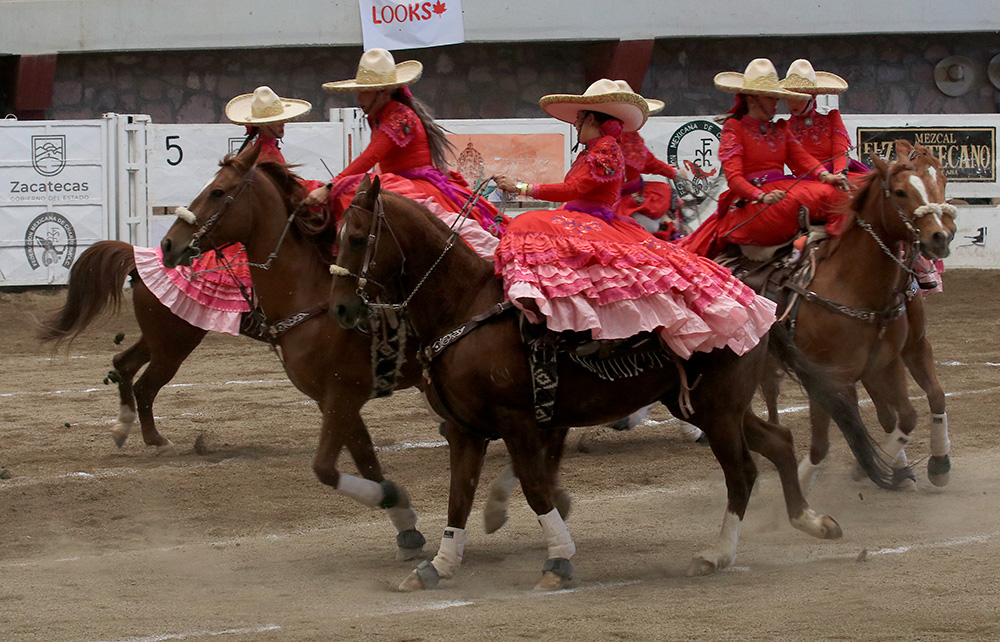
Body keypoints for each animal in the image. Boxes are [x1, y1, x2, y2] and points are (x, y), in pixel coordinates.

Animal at [329, 174, 896, 591]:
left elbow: (535, 487)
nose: (340, 310)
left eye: (356, 237)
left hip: (717, 411)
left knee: (743, 474)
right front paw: (438, 565)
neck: (466, 307)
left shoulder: (517, 422)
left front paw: (558, 561)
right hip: (706, 406)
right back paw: (810, 521)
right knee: (777, 442)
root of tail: (758, 298)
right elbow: (458, 496)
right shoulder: (466, 429)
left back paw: (716, 554)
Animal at [757, 141, 956, 493]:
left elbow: (925, 402)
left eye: (942, 180)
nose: (941, 236)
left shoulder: (905, 350)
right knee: (766, 394)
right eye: (900, 192)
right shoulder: (830, 375)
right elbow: (827, 439)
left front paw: (932, 464)